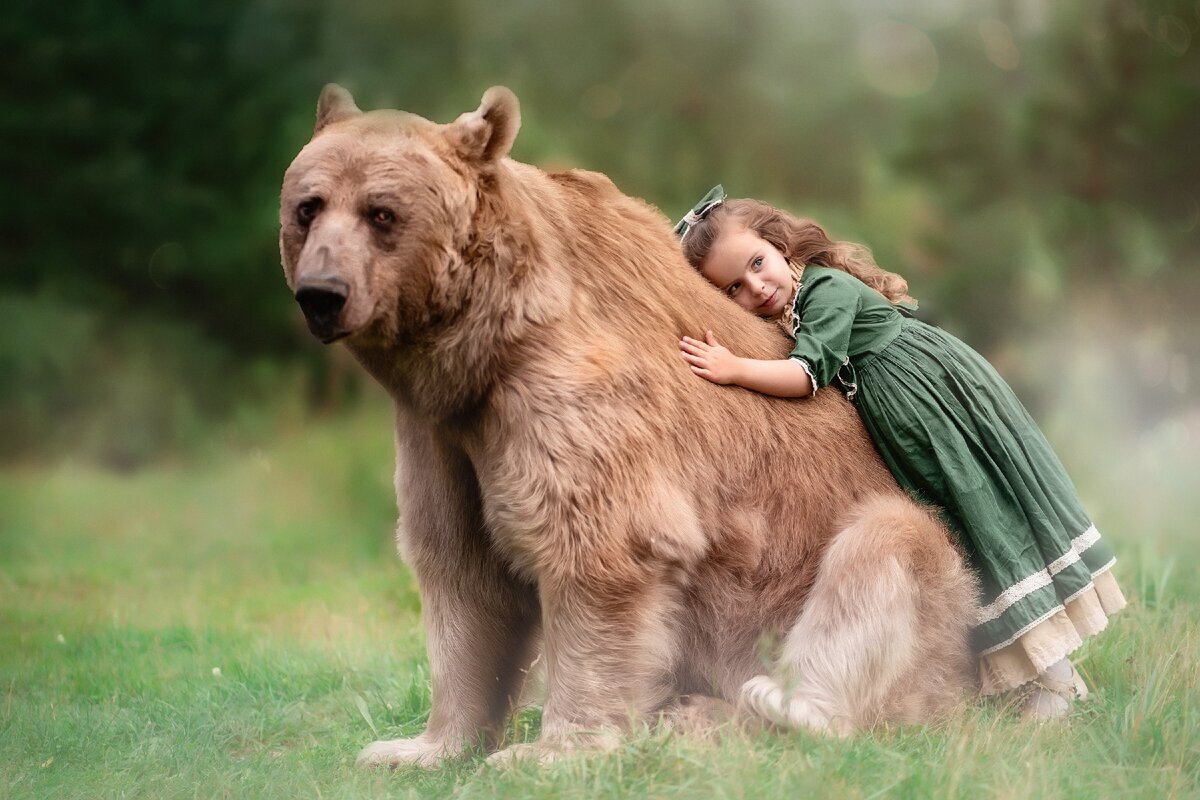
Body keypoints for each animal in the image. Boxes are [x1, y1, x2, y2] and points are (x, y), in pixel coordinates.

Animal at [283, 84, 984, 767]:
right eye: (308, 207)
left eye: (381, 212)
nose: (322, 294)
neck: (485, 345)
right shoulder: (443, 431)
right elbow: (461, 569)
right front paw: (412, 748)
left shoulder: (566, 392)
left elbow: (600, 548)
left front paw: (547, 753)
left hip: (911, 613)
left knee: (889, 546)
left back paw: (773, 708)